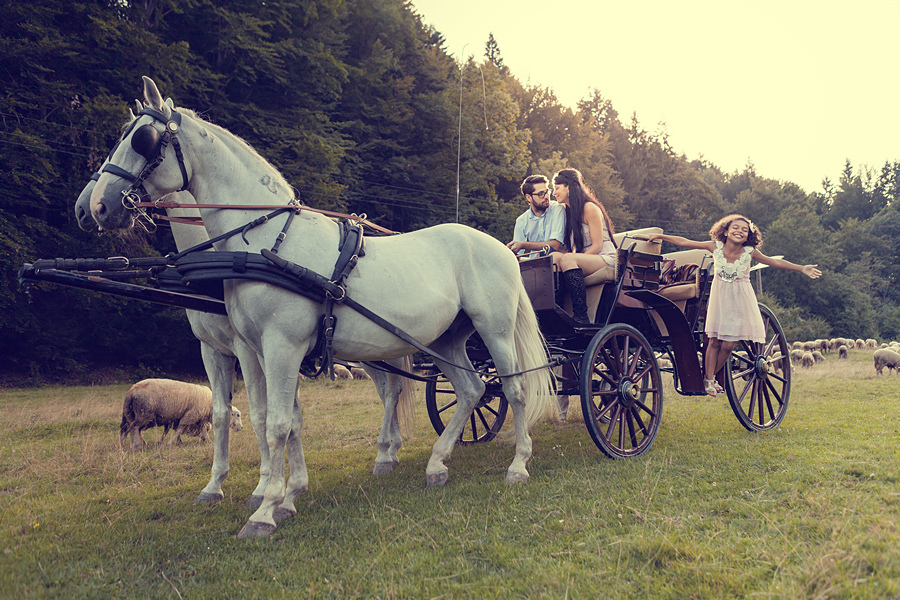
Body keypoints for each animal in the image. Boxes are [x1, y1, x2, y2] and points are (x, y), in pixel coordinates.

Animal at [91, 76, 556, 540]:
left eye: (142, 139)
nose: (95, 205)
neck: (266, 242)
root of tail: (501, 247)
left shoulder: (280, 346)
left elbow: (276, 424)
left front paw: (264, 510)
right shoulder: (263, 350)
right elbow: (288, 420)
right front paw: (288, 496)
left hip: (494, 330)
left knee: (513, 389)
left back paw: (518, 465)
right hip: (445, 339)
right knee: (472, 389)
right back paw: (437, 464)